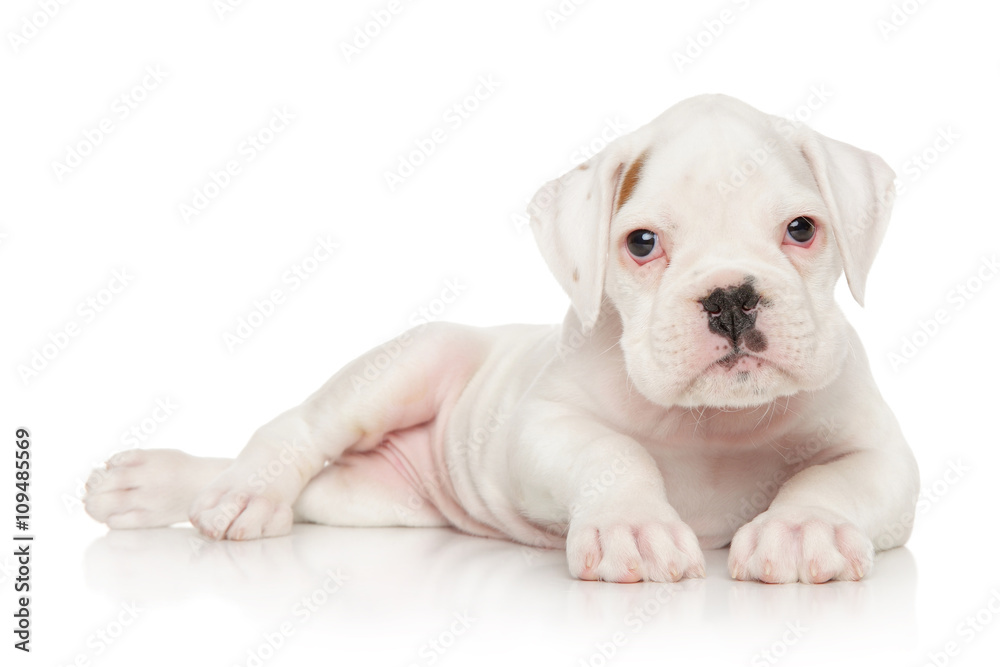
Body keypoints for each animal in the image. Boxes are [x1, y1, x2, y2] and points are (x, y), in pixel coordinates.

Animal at [82, 94, 916, 584]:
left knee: (317, 482)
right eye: (642, 244)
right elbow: (613, 453)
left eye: (802, 229)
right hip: (407, 365)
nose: (732, 298)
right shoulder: (538, 430)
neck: (712, 423)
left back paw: (160, 485)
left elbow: (838, 478)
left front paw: (803, 529)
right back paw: (237, 491)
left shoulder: (885, 459)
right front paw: (634, 525)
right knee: (298, 429)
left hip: (371, 500)